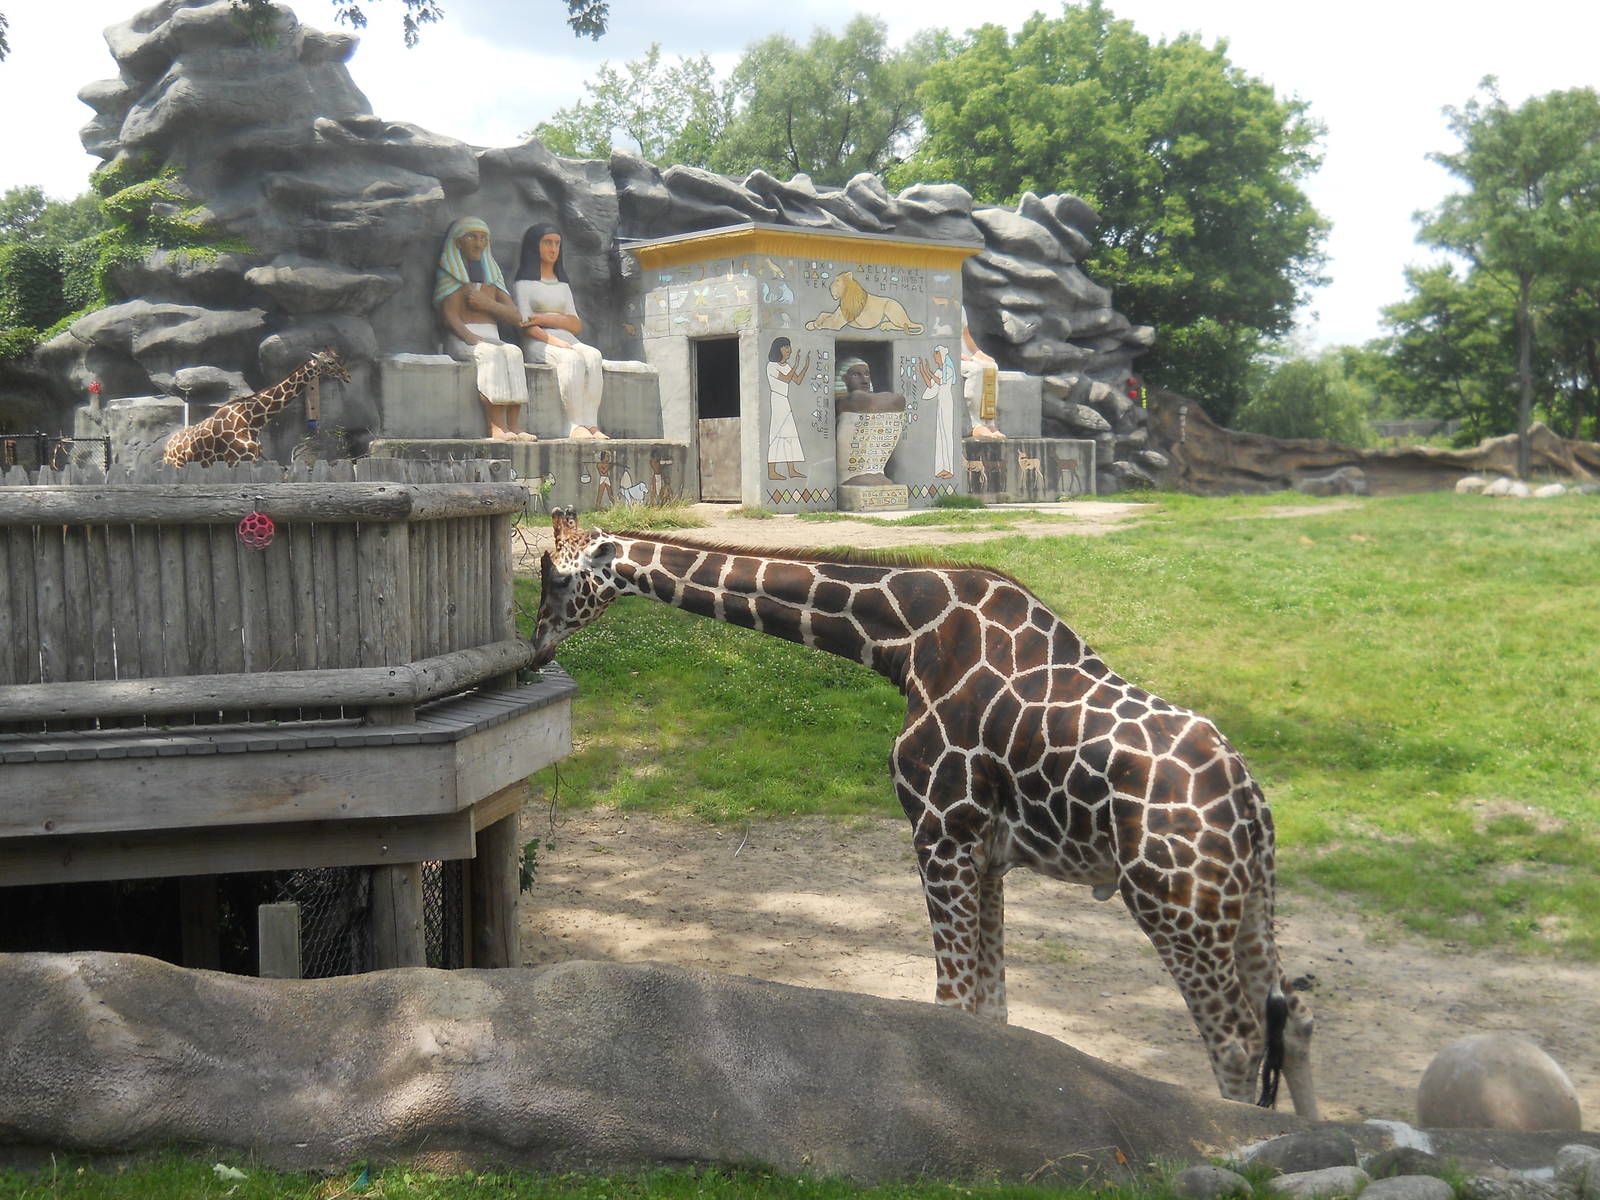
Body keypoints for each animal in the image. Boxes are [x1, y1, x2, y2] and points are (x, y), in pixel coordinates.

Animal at [162, 348, 351, 467]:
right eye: (330, 362)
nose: (347, 376)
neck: (253, 421)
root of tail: (167, 446)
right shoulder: (236, 460)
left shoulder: (251, 459)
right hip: (176, 464)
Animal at [528, 509, 1318, 1117]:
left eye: (558, 575)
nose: (536, 644)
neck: (902, 640)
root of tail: (1253, 804)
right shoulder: (988, 851)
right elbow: (992, 1010)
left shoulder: (941, 830)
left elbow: (953, 1003)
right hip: (1247, 904)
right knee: (1294, 1018)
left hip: (1175, 905)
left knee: (1237, 1041)